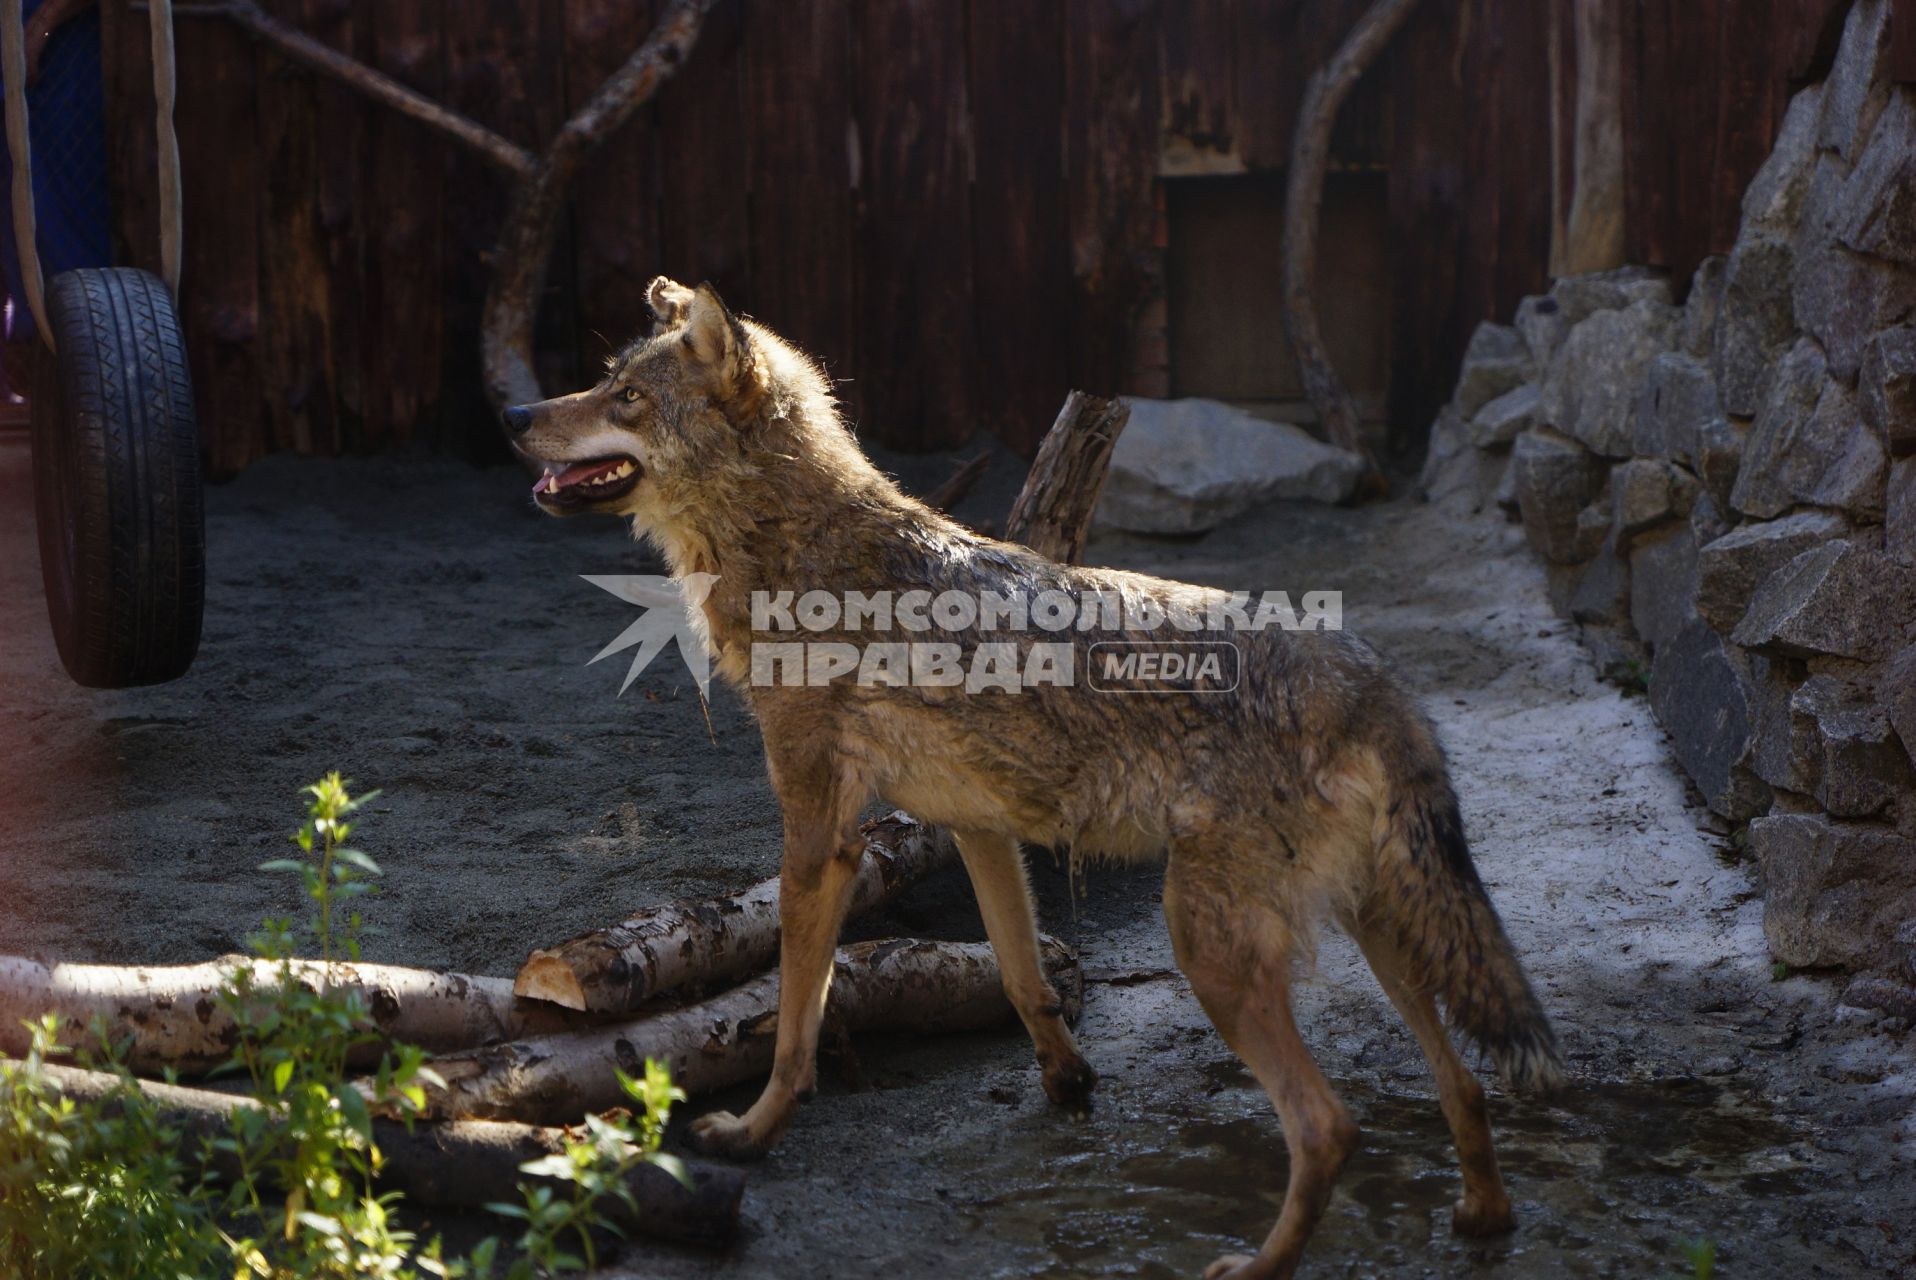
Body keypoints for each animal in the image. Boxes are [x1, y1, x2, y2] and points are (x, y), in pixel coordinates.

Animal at [501, 275, 1563, 1272]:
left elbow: (799, 1019)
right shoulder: (979, 826)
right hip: (1380, 933)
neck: (800, 554)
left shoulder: (818, 834)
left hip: (1211, 950)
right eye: (604, 379)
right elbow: (1022, 977)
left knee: (1331, 1127)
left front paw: (754, 1132)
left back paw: (1255, 1265)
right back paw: (1483, 1218)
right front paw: (1069, 1082)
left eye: (626, 396)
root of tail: (1370, 676)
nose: (512, 417)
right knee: (1464, 1083)